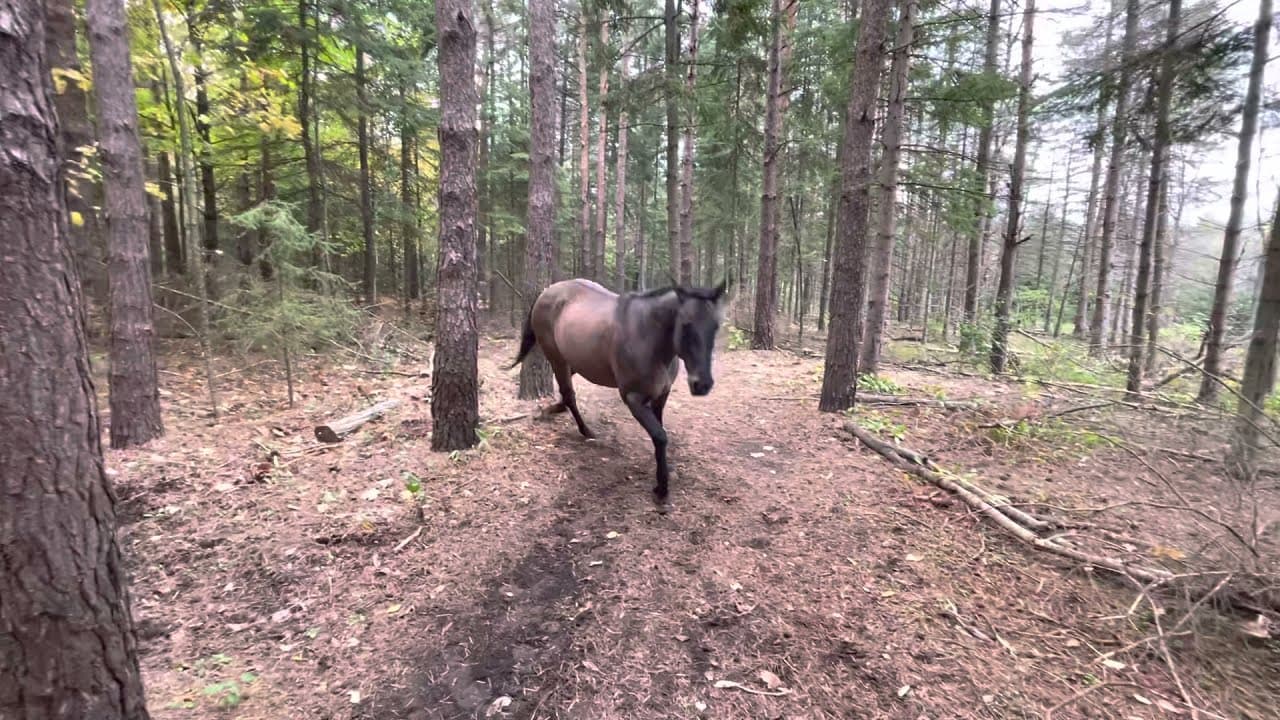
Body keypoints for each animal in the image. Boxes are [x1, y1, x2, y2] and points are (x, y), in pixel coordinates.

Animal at [508, 278, 727, 500]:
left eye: (716, 326)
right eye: (686, 324)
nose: (702, 384)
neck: (648, 338)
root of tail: (547, 291)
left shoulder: (661, 395)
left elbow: (660, 431)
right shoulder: (633, 398)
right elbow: (660, 436)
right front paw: (661, 487)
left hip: (574, 361)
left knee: (565, 390)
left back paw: (552, 410)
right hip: (557, 358)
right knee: (569, 394)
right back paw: (586, 430)